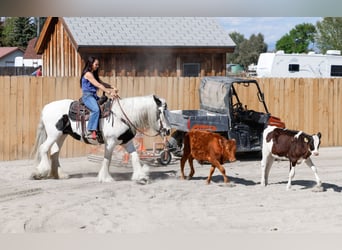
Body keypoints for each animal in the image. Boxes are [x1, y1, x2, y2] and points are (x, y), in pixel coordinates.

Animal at [30, 94, 171, 184]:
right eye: (160, 112)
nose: (168, 130)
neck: (122, 115)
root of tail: (46, 108)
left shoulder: (127, 142)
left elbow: (135, 157)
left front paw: (141, 176)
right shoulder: (110, 142)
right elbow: (107, 160)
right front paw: (106, 178)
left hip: (61, 135)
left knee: (54, 153)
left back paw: (59, 175)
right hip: (54, 134)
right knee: (44, 148)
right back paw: (39, 173)